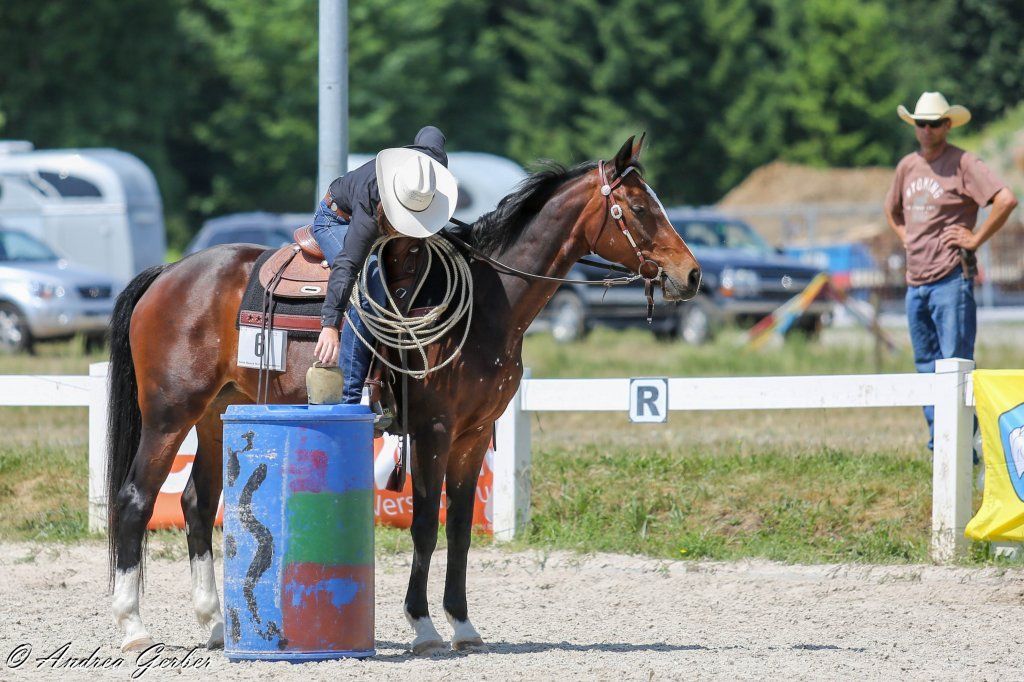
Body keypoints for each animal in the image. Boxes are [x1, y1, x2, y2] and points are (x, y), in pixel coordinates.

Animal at [105, 135, 701, 654]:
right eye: (639, 208)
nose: (692, 274)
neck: (490, 303)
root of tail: (169, 272)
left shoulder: (472, 435)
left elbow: (458, 530)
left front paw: (463, 625)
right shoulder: (434, 432)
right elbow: (423, 526)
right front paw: (423, 626)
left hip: (214, 414)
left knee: (197, 503)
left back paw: (212, 624)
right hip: (169, 414)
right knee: (135, 499)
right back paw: (133, 628)